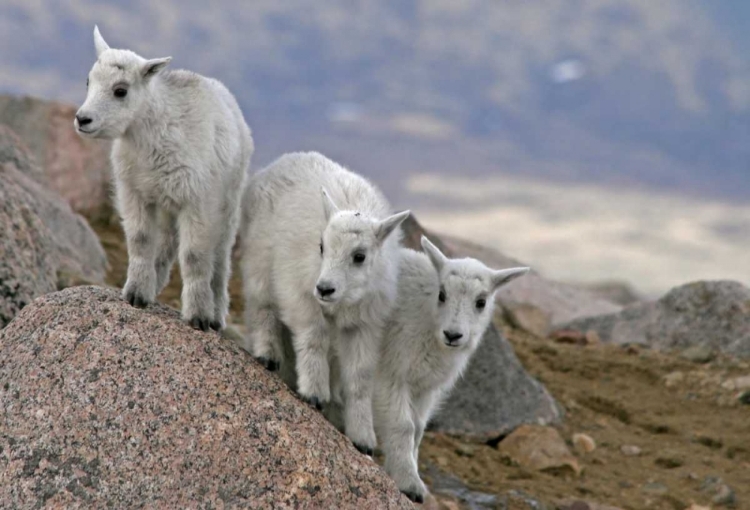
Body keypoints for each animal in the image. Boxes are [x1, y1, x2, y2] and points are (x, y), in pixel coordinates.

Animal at [75, 25, 254, 330]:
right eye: (89, 81)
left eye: (120, 91)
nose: (82, 119)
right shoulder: (135, 193)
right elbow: (141, 239)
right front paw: (135, 294)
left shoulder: (198, 201)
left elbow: (194, 256)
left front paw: (198, 316)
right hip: (167, 203)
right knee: (167, 244)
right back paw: (155, 284)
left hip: (228, 202)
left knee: (220, 258)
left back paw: (216, 314)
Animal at [242, 152, 412, 454]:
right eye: (321, 247)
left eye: (360, 256)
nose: (324, 289)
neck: (344, 299)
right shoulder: (300, 295)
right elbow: (314, 337)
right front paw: (314, 393)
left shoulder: (364, 324)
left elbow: (359, 377)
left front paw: (362, 438)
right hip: (260, 258)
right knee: (262, 307)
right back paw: (268, 353)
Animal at [376, 238, 528, 502]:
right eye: (442, 294)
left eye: (481, 302)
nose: (453, 335)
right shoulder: (393, 372)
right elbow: (404, 426)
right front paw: (409, 483)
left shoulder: (424, 387)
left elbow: (418, 429)